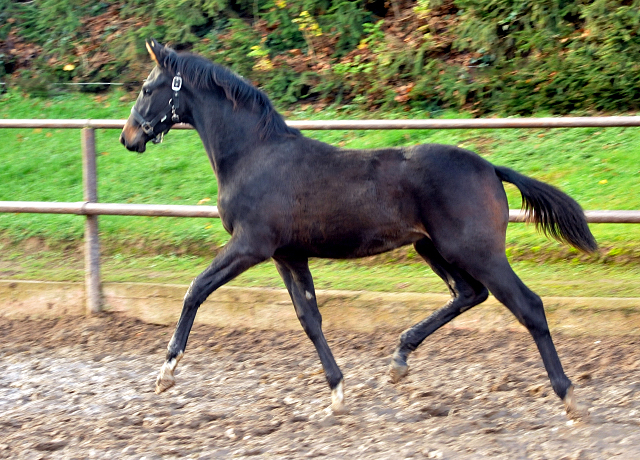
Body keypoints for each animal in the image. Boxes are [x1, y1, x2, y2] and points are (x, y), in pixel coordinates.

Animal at [122, 39, 596, 418]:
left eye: (147, 89)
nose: (128, 138)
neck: (253, 155)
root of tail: (491, 169)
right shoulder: (287, 255)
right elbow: (309, 318)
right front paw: (337, 391)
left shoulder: (250, 245)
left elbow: (196, 289)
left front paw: (166, 372)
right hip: (433, 249)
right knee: (468, 293)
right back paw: (400, 358)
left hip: (477, 251)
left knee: (528, 305)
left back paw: (568, 396)